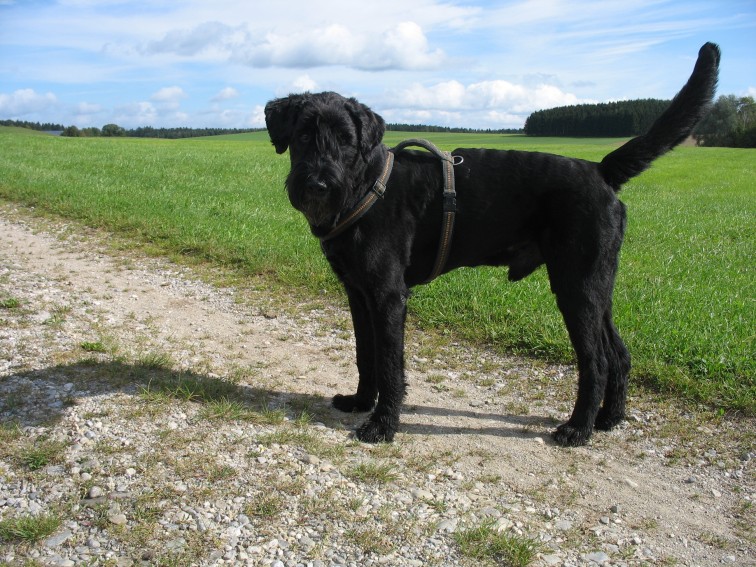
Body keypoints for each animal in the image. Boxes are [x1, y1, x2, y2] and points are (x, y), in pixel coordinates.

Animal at [264, 43, 720, 446]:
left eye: (345, 138)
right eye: (303, 136)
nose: (319, 184)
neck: (366, 185)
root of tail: (600, 169)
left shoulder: (388, 295)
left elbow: (391, 364)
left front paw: (382, 426)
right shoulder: (358, 293)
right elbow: (365, 354)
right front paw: (361, 401)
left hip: (576, 287)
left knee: (597, 361)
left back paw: (578, 429)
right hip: (597, 286)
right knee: (620, 354)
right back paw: (609, 420)